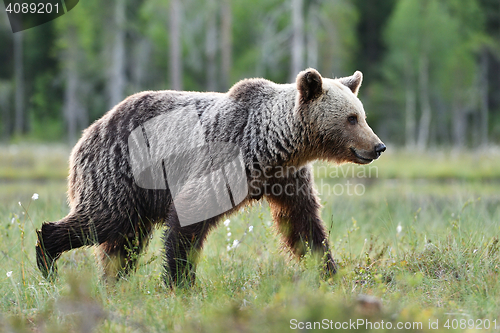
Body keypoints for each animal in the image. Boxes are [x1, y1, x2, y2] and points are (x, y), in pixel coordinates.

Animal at [36, 67, 386, 286]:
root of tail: (89, 131)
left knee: (123, 242)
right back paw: (47, 258)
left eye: (362, 115)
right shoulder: (220, 162)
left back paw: (112, 280)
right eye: (352, 118)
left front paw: (329, 271)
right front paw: (179, 282)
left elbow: (303, 225)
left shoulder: (286, 179)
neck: (270, 147)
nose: (378, 146)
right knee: (104, 219)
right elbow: (187, 222)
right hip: (119, 171)